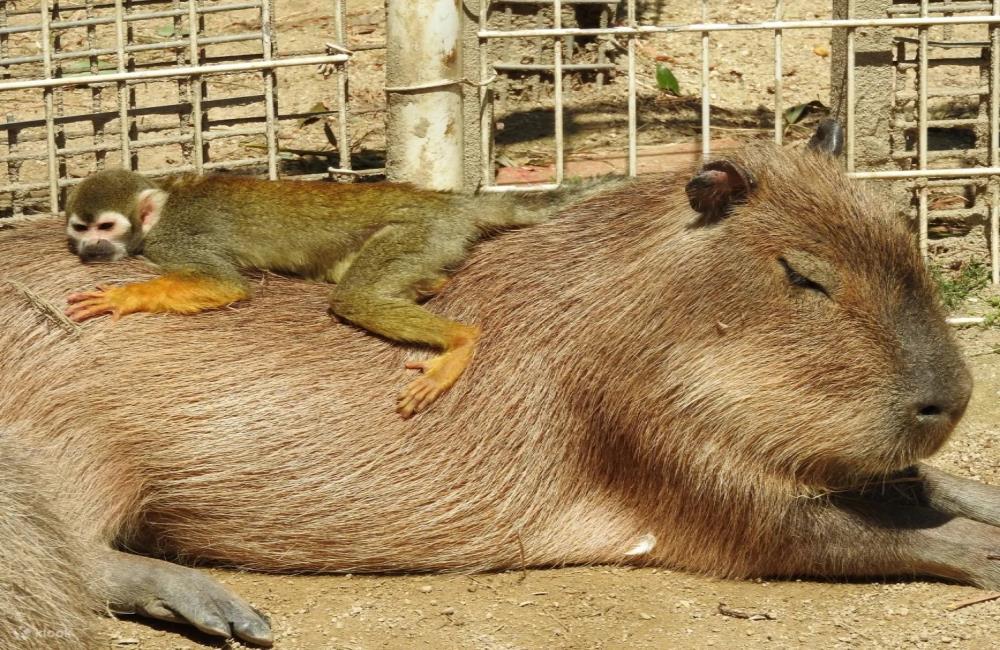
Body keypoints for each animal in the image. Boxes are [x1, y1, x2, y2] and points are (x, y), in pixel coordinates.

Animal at [62, 170, 564, 418]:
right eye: (80, 229)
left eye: (105, 227)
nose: (89, 249)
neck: (161, 209)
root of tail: (452, 202)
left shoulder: (174, 241)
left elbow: (225, 283)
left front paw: (122, 297)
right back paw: (430, 286)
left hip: (420, 232)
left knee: (354, 297)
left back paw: (460, 341)